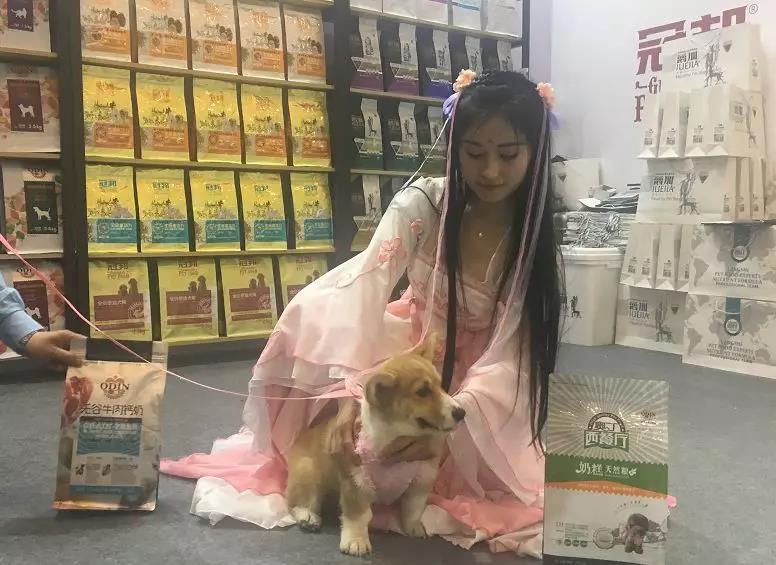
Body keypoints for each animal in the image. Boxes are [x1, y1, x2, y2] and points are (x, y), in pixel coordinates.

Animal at [286, 333, 464, 557]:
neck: (393, 436)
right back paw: (308, 517)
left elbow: (413, 509)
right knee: (296, 502)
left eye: (441, 386)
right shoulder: (357, 481)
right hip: (309, 472)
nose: (461, 412)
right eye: (422, 391)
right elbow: (359, 516)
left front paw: (414, 528)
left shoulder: (422, 478)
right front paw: (356, 542)